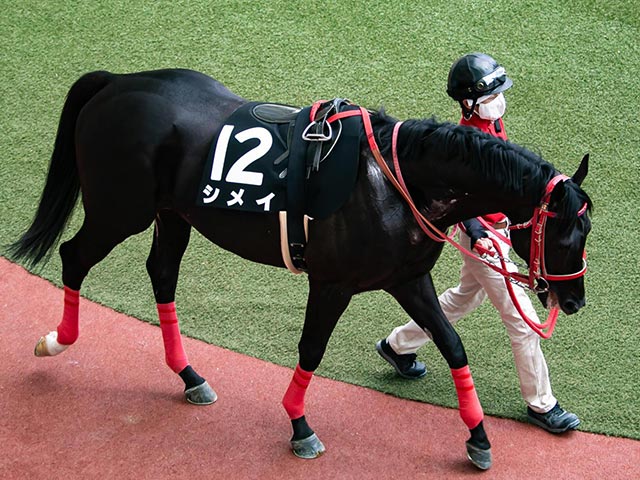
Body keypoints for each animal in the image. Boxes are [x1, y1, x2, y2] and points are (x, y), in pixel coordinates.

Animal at [10, 69, 592, 470]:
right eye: (569, 233)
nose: (574, 301)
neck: (398, 180)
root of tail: (116, 83)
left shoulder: (408, 279)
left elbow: (452, 345)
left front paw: (478, 438)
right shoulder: (332, 283)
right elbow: (311, 349)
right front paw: (299, 426)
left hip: (172, 213)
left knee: (161, 273)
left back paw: (190, 376)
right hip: (119, 209)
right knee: (74, 257)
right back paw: (56, 340)